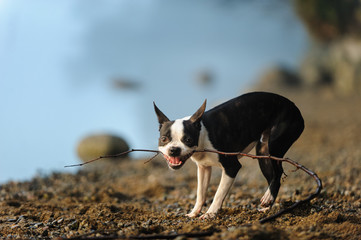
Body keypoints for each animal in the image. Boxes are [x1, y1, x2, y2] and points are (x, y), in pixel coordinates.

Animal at [153, 92, 302, 219]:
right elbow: (201, 192)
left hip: (270, 147)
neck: (202, 136)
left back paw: (268, 198)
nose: (174, 149)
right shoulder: (203, 168)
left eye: (188, 140)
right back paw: (267, 206)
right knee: (272, 175)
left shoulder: (231, 167)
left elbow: (218, 193)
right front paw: (194, 212)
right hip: (263, 154)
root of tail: (294, 107)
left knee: (278, 172)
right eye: (164, 139)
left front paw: (210, 213)